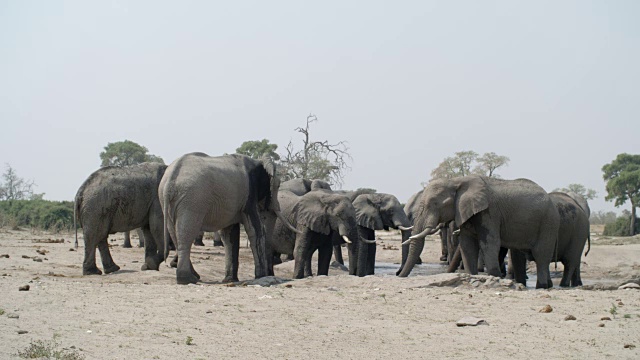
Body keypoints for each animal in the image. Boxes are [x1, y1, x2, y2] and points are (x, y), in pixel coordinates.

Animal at [159, 152, 296, 284]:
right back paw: (187, 279)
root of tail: (170, 180)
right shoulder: (249, 195)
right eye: (278, 185)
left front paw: (230, 280)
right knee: (187, 233)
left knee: (175, 234)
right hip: (192, 199)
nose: (270, 273)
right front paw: (261, 276)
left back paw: (193, 276)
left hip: (171, 200)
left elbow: (229, 234)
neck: (258, 161)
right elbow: (256, 230)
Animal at [400, 175, 560, 290]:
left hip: (549, 222)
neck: (456, 181)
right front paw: (473, 277)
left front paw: (494, 277)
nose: (398, 275)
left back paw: (542, 287)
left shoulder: (489, 212)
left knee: (541, 255)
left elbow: (489, 244)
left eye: (434, 204)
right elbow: (467, 246)